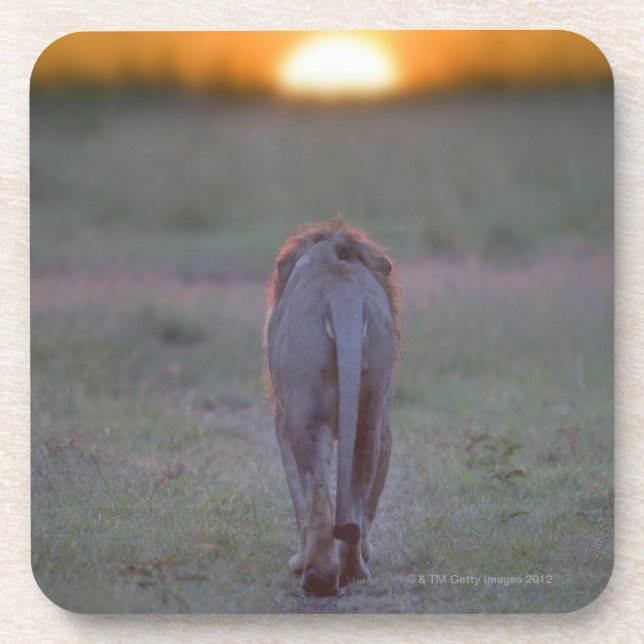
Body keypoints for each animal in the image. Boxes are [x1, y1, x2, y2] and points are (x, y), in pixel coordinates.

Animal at [264, 215, 401, 596]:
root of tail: (344, 295)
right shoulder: (387, 428)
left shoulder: (282, 421)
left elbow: (298, 498)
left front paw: (298, 560)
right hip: (370, 414)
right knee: (357, 494)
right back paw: (353, 570)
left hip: (305, 413)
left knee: (318, 495)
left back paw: (317, 575)